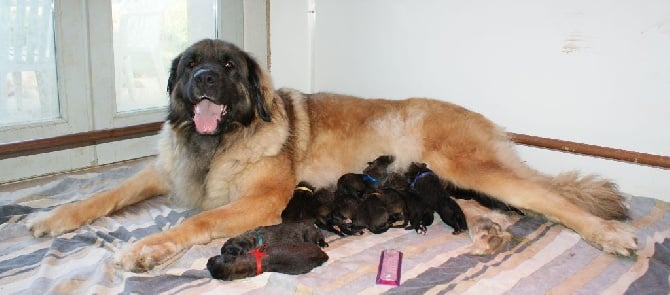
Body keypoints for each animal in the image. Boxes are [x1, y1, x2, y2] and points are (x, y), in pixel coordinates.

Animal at [27, 39, 640, 272]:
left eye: (227, 66)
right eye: (193, 64)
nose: (203, 81)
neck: (217, 141)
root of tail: (484, 118)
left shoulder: (262, 201)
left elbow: (197, 220)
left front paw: (148, 247)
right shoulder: (164, 172)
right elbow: (108, 193)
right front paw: (52, 218)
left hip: (471, 166)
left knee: (552, 201)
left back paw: (611, 236)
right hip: (449, 180)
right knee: (485, 207)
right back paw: (489, 233)